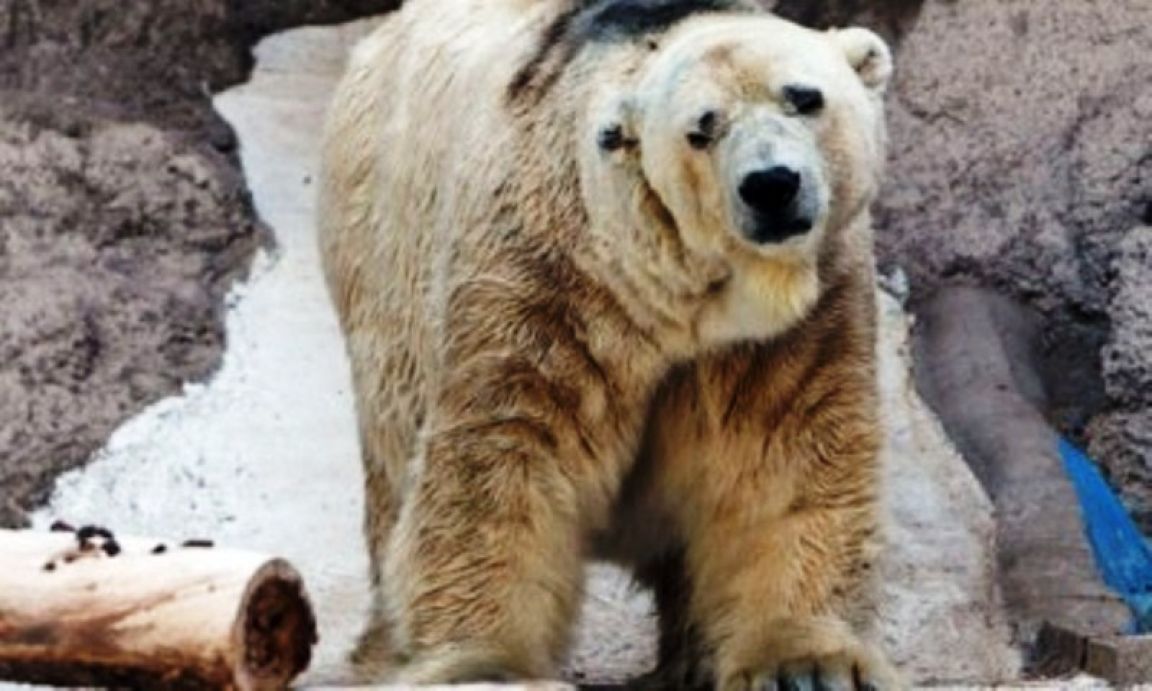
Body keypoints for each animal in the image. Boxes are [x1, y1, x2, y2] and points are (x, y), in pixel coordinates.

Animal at [318, 0, 897, 687]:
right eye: (702, 129)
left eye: (805, 98)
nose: (772, 184)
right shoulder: (548, 277)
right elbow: (504, 451)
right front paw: (485, 665)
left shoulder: (798, 318)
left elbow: (786, 451)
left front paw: (805, 663)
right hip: (382, 257)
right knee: (392, 454)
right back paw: (383, 648)